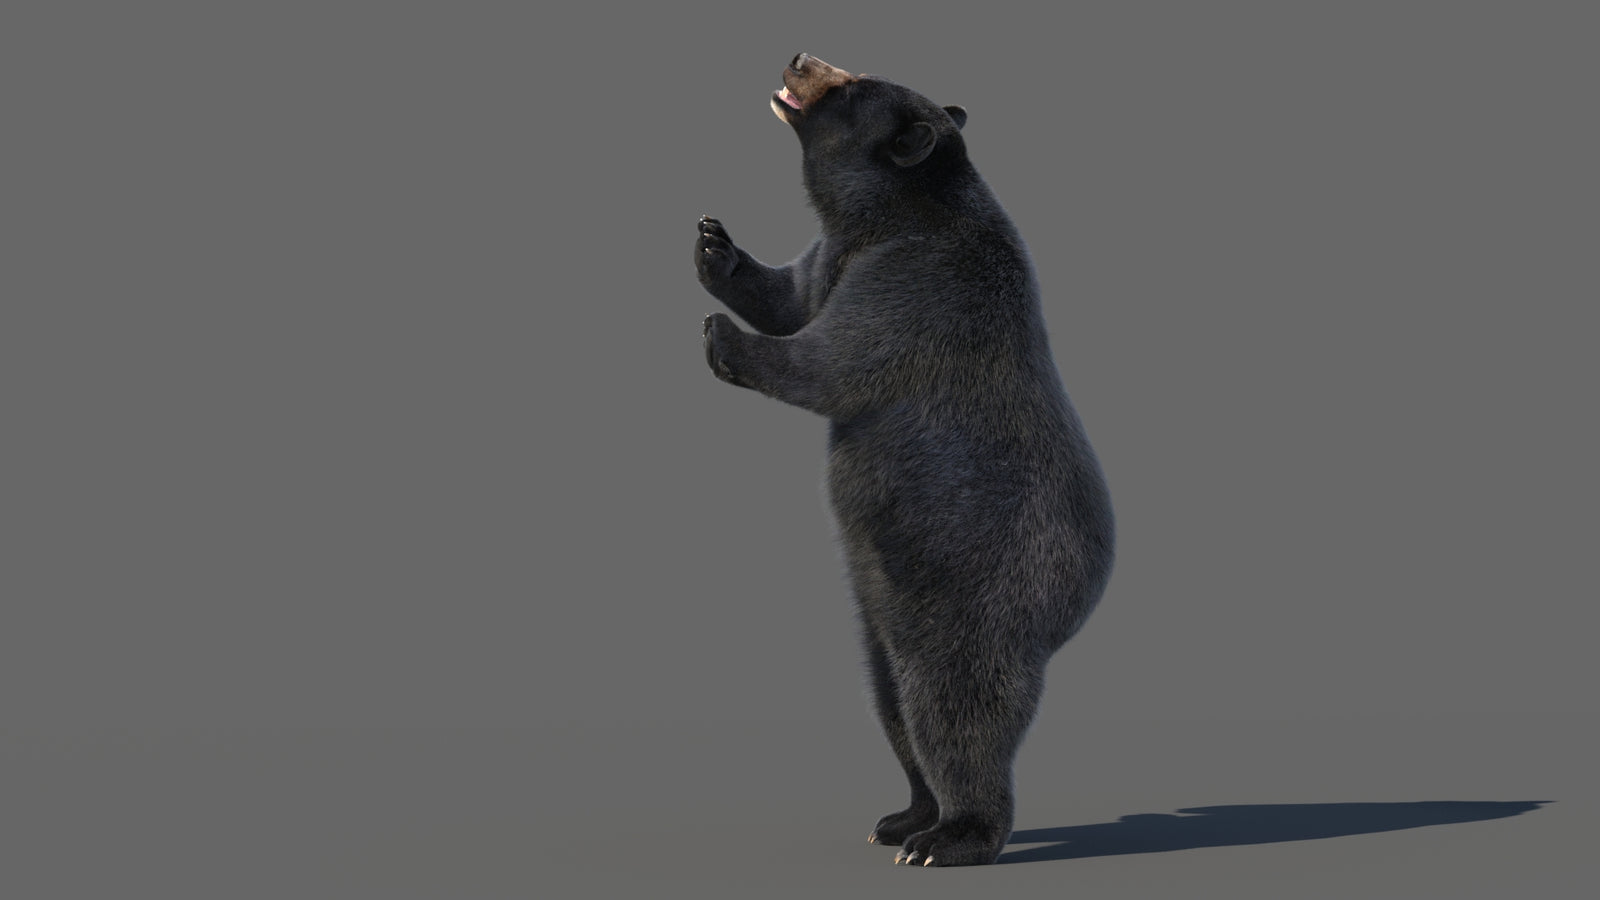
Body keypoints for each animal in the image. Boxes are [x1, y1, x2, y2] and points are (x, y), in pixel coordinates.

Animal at [695, 53, 1115, 867]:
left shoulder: (919, 282)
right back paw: (903, 816)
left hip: (977, 595)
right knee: (890, 700)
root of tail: (1079, 605)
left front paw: (722, 336)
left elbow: (836, 359)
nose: (798, 57)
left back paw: (952, 836)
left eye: (849, 84)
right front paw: (714, 246)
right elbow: (793, 296)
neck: (890, 215)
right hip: (880, 607)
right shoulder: (836, 255)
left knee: (952, 710)